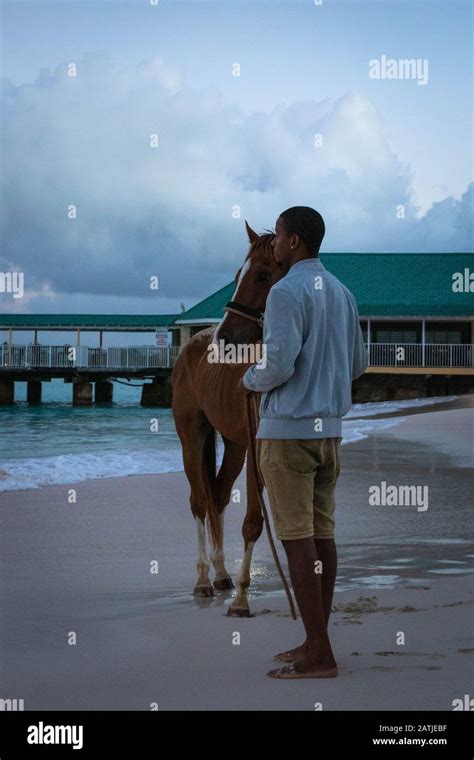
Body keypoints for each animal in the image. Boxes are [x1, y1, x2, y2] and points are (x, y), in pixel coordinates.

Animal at [171, 221, 288, 616]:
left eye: (264, 274)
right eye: (237, 275)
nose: (223, 338)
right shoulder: (257, 449)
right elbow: (253, 522)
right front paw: (241, 600)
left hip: (235, 444)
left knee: (218, 496)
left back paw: (222, 575)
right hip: (193, 438)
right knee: (198, 501)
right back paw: (204, 580)